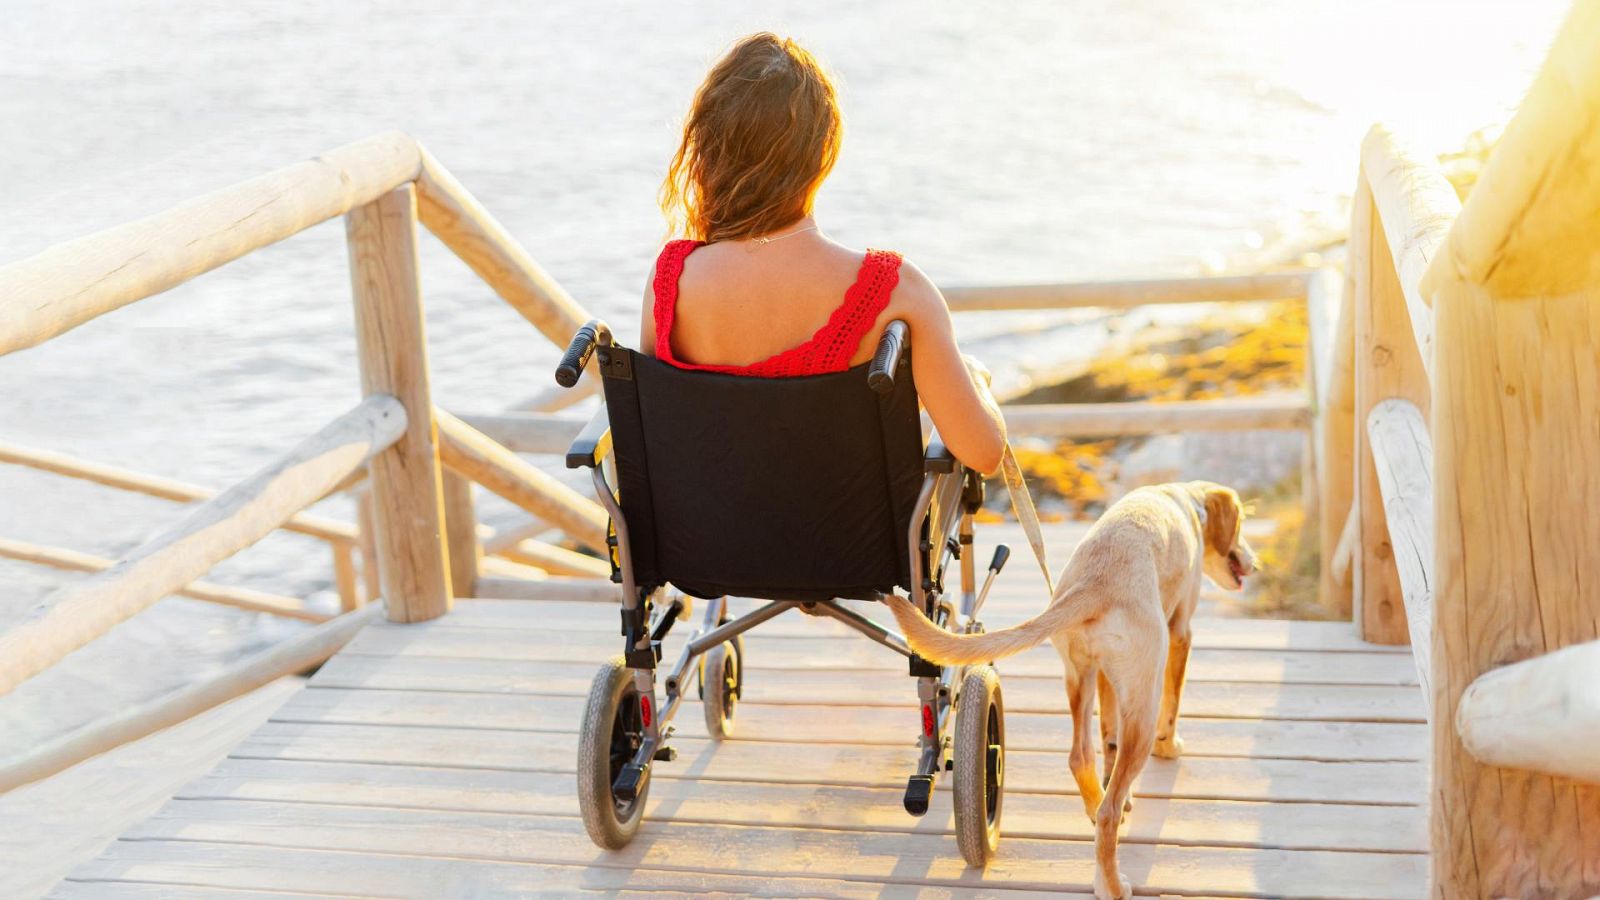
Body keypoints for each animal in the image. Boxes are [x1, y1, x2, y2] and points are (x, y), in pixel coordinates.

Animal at [883, 480, 1254, 890]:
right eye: (1240, 525)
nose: (1254, 562)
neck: (1186, 501)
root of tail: (1095, 581)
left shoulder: (1107, 675)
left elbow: (1108, 738)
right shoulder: (1181, 632)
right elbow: (1173, 705)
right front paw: (1169, 745)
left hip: (1080, 678)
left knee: (1080, 756)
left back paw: (1096, 802)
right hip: (1142, 696)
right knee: (1110, 807)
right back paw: (1111, 882)